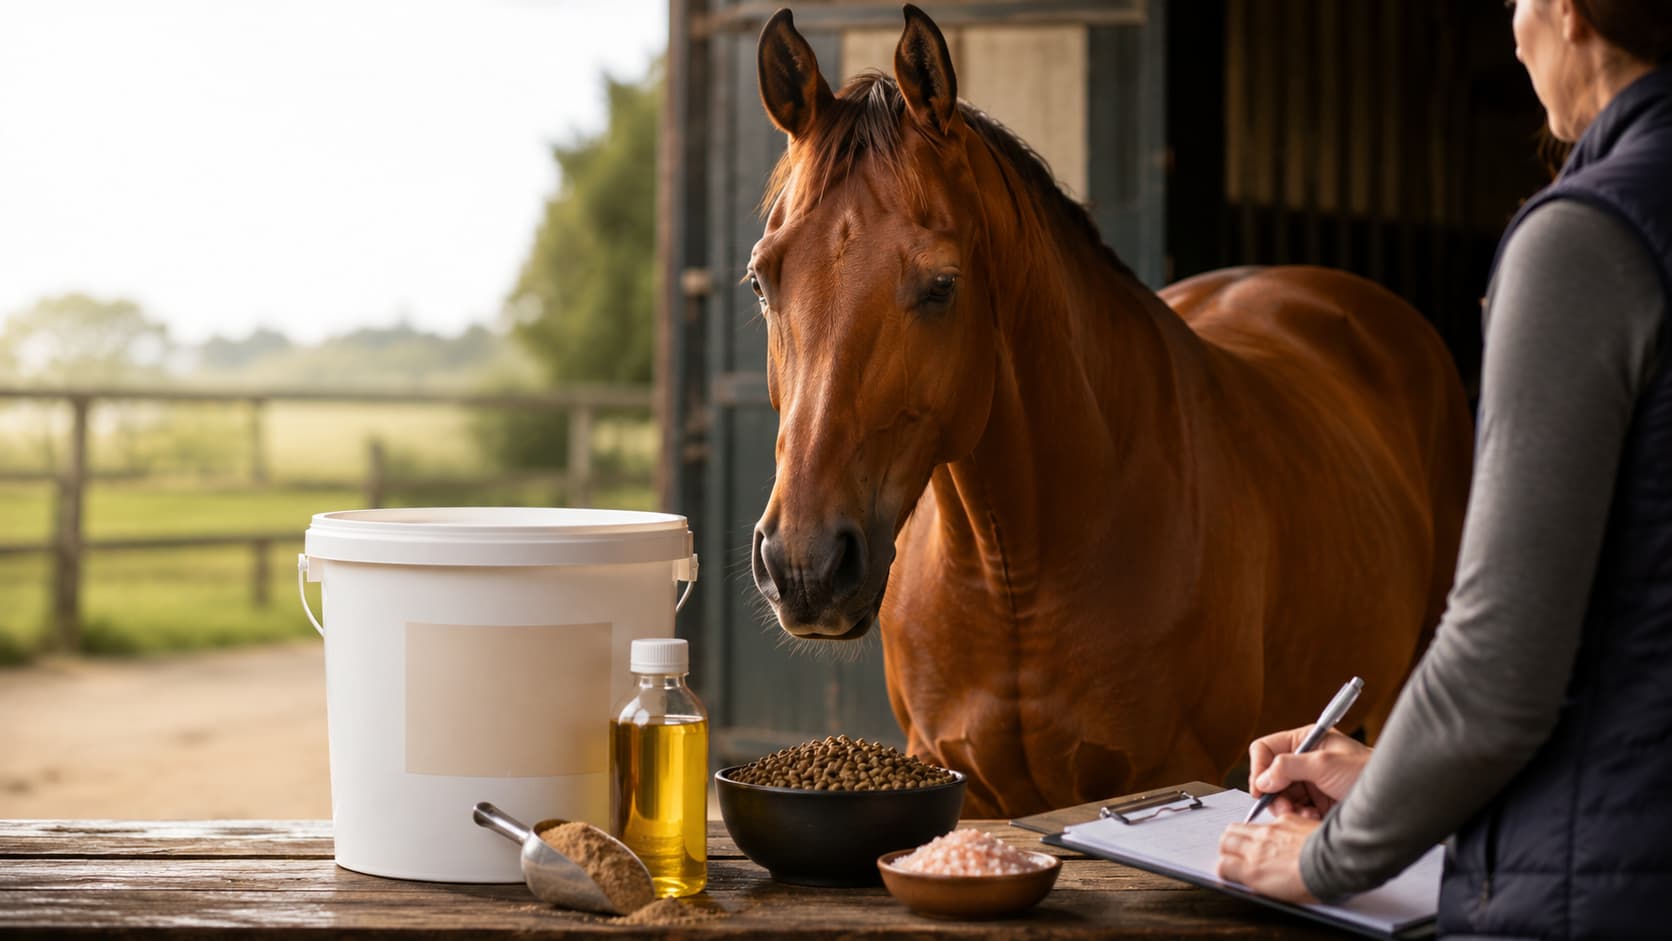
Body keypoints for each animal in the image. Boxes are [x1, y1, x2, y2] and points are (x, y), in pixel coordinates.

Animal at [745, 5, 1473, 818]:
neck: (1017, 570)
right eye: (762, 280)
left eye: (941, 285)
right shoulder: (964, 782)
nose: (804, 565)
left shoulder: (1165, 767)